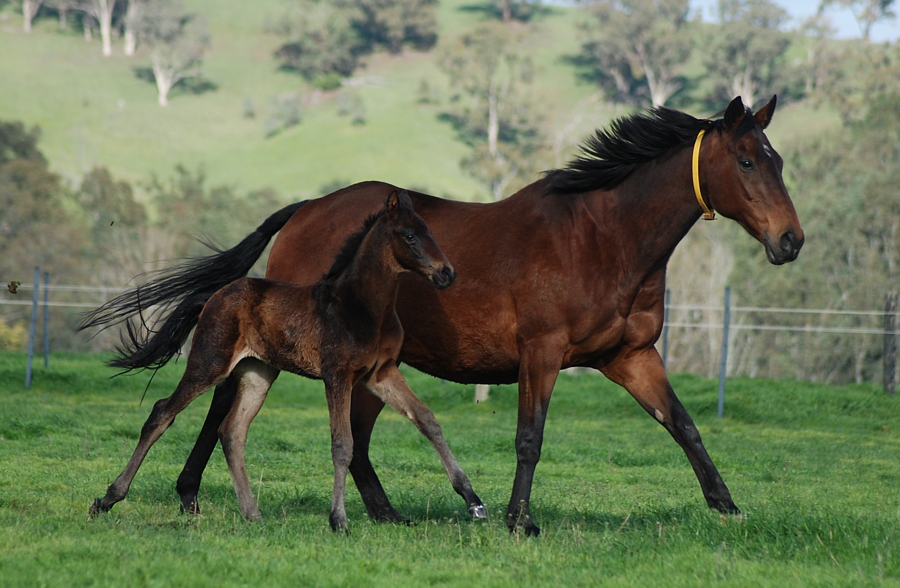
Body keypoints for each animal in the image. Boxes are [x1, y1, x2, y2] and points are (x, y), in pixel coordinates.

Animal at [88, 191, 488, 532]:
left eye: (430, 232)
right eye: (409, 236)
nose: (446, 273)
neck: (360, 307)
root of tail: (215, 295)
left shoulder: (381, 373)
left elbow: (427, 421)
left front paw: (474, 501)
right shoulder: (337, 375)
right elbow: (342, 444)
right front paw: (339, 521)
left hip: (258, 373)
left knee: (232, 431)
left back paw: (253, 514)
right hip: (209, 362)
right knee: (162, 413)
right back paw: (106, 500)